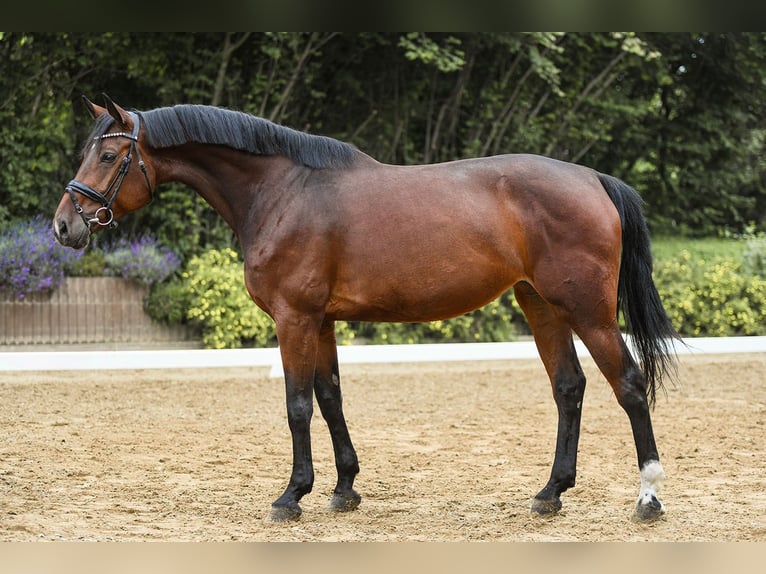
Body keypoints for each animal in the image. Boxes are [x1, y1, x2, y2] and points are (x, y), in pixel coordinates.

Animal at [54, 94, 680, 528]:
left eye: (108, 155)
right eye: (86, 152)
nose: (64, 226)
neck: (284, 191)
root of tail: (592, 178)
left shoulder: (294, 319)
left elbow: (297, 406)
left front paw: (292, 496)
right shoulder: (322, 321)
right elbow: (330, 398)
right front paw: (344, 489)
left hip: (588, 312)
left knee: (629, 385)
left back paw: (648, 496)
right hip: (542, 305)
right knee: (569, 388)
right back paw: (551, 493)